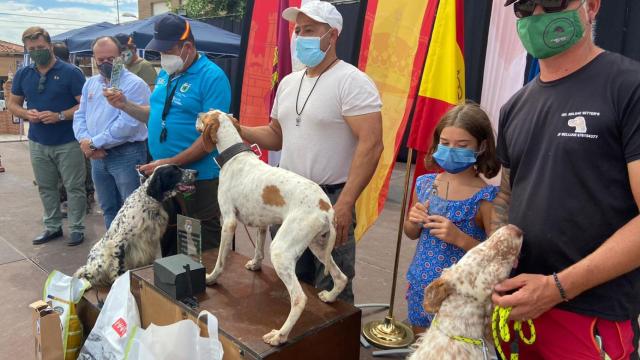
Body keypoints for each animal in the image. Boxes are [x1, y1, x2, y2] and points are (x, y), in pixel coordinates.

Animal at [198, 109, 348, 346]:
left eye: (205, 116)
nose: (197, 114)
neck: (234, 156)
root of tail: (326, 207)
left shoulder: (228, 222)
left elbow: (221, 259)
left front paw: (211, 278)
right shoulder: (262, 223)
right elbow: (258, 249)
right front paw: (255, 265)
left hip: (281, 251)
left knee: (299, 298)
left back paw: (280, 335)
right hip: (319, 246)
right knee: (341, 277)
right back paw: (330, 296)